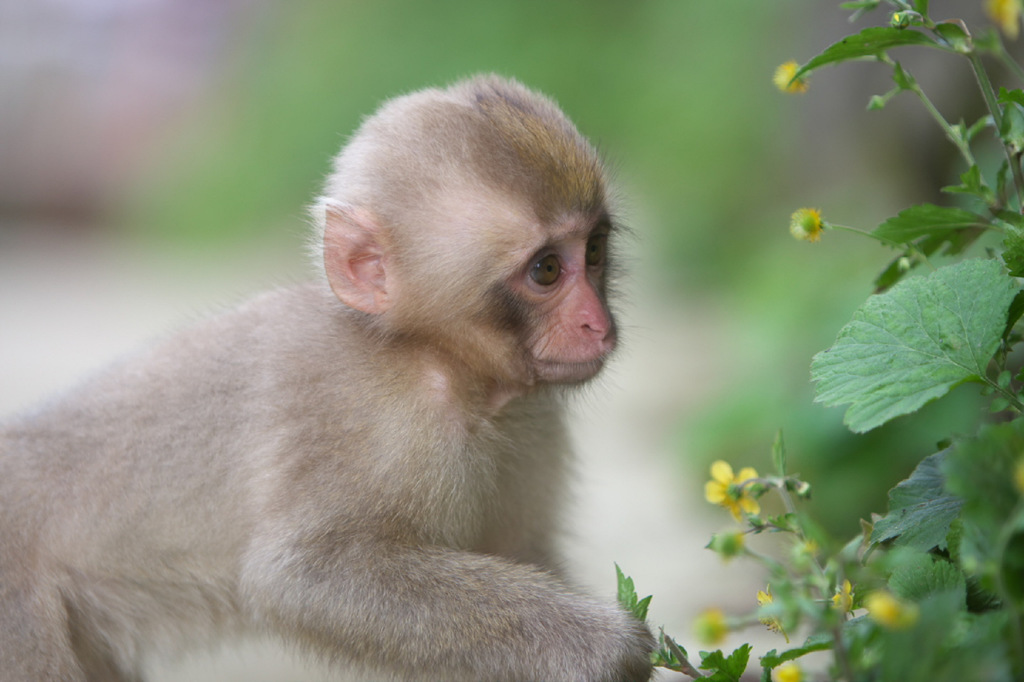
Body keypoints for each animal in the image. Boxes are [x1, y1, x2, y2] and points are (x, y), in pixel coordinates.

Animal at [0, 74, 655, 679]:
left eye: (592, 252)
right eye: (546, 270)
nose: (597, 324)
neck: (438, 361)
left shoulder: (531, 418)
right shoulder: (370, 418)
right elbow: (305, 578)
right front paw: (601, 646)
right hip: (19, 616)